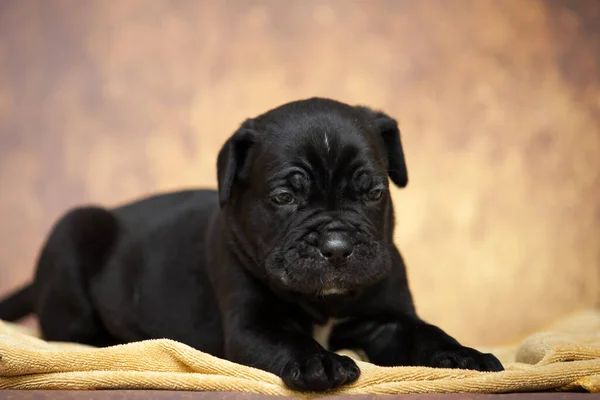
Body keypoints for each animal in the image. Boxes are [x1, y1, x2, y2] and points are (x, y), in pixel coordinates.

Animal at [0, 98, 502, 392]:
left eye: (374, 193)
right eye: (283, 198)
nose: (337, 244)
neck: (325, 302)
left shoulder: (387, 318)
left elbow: (424, 332)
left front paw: (462, 355)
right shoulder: (253, 325)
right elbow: (288, 338)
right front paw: (320, 363)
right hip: (72, 234)